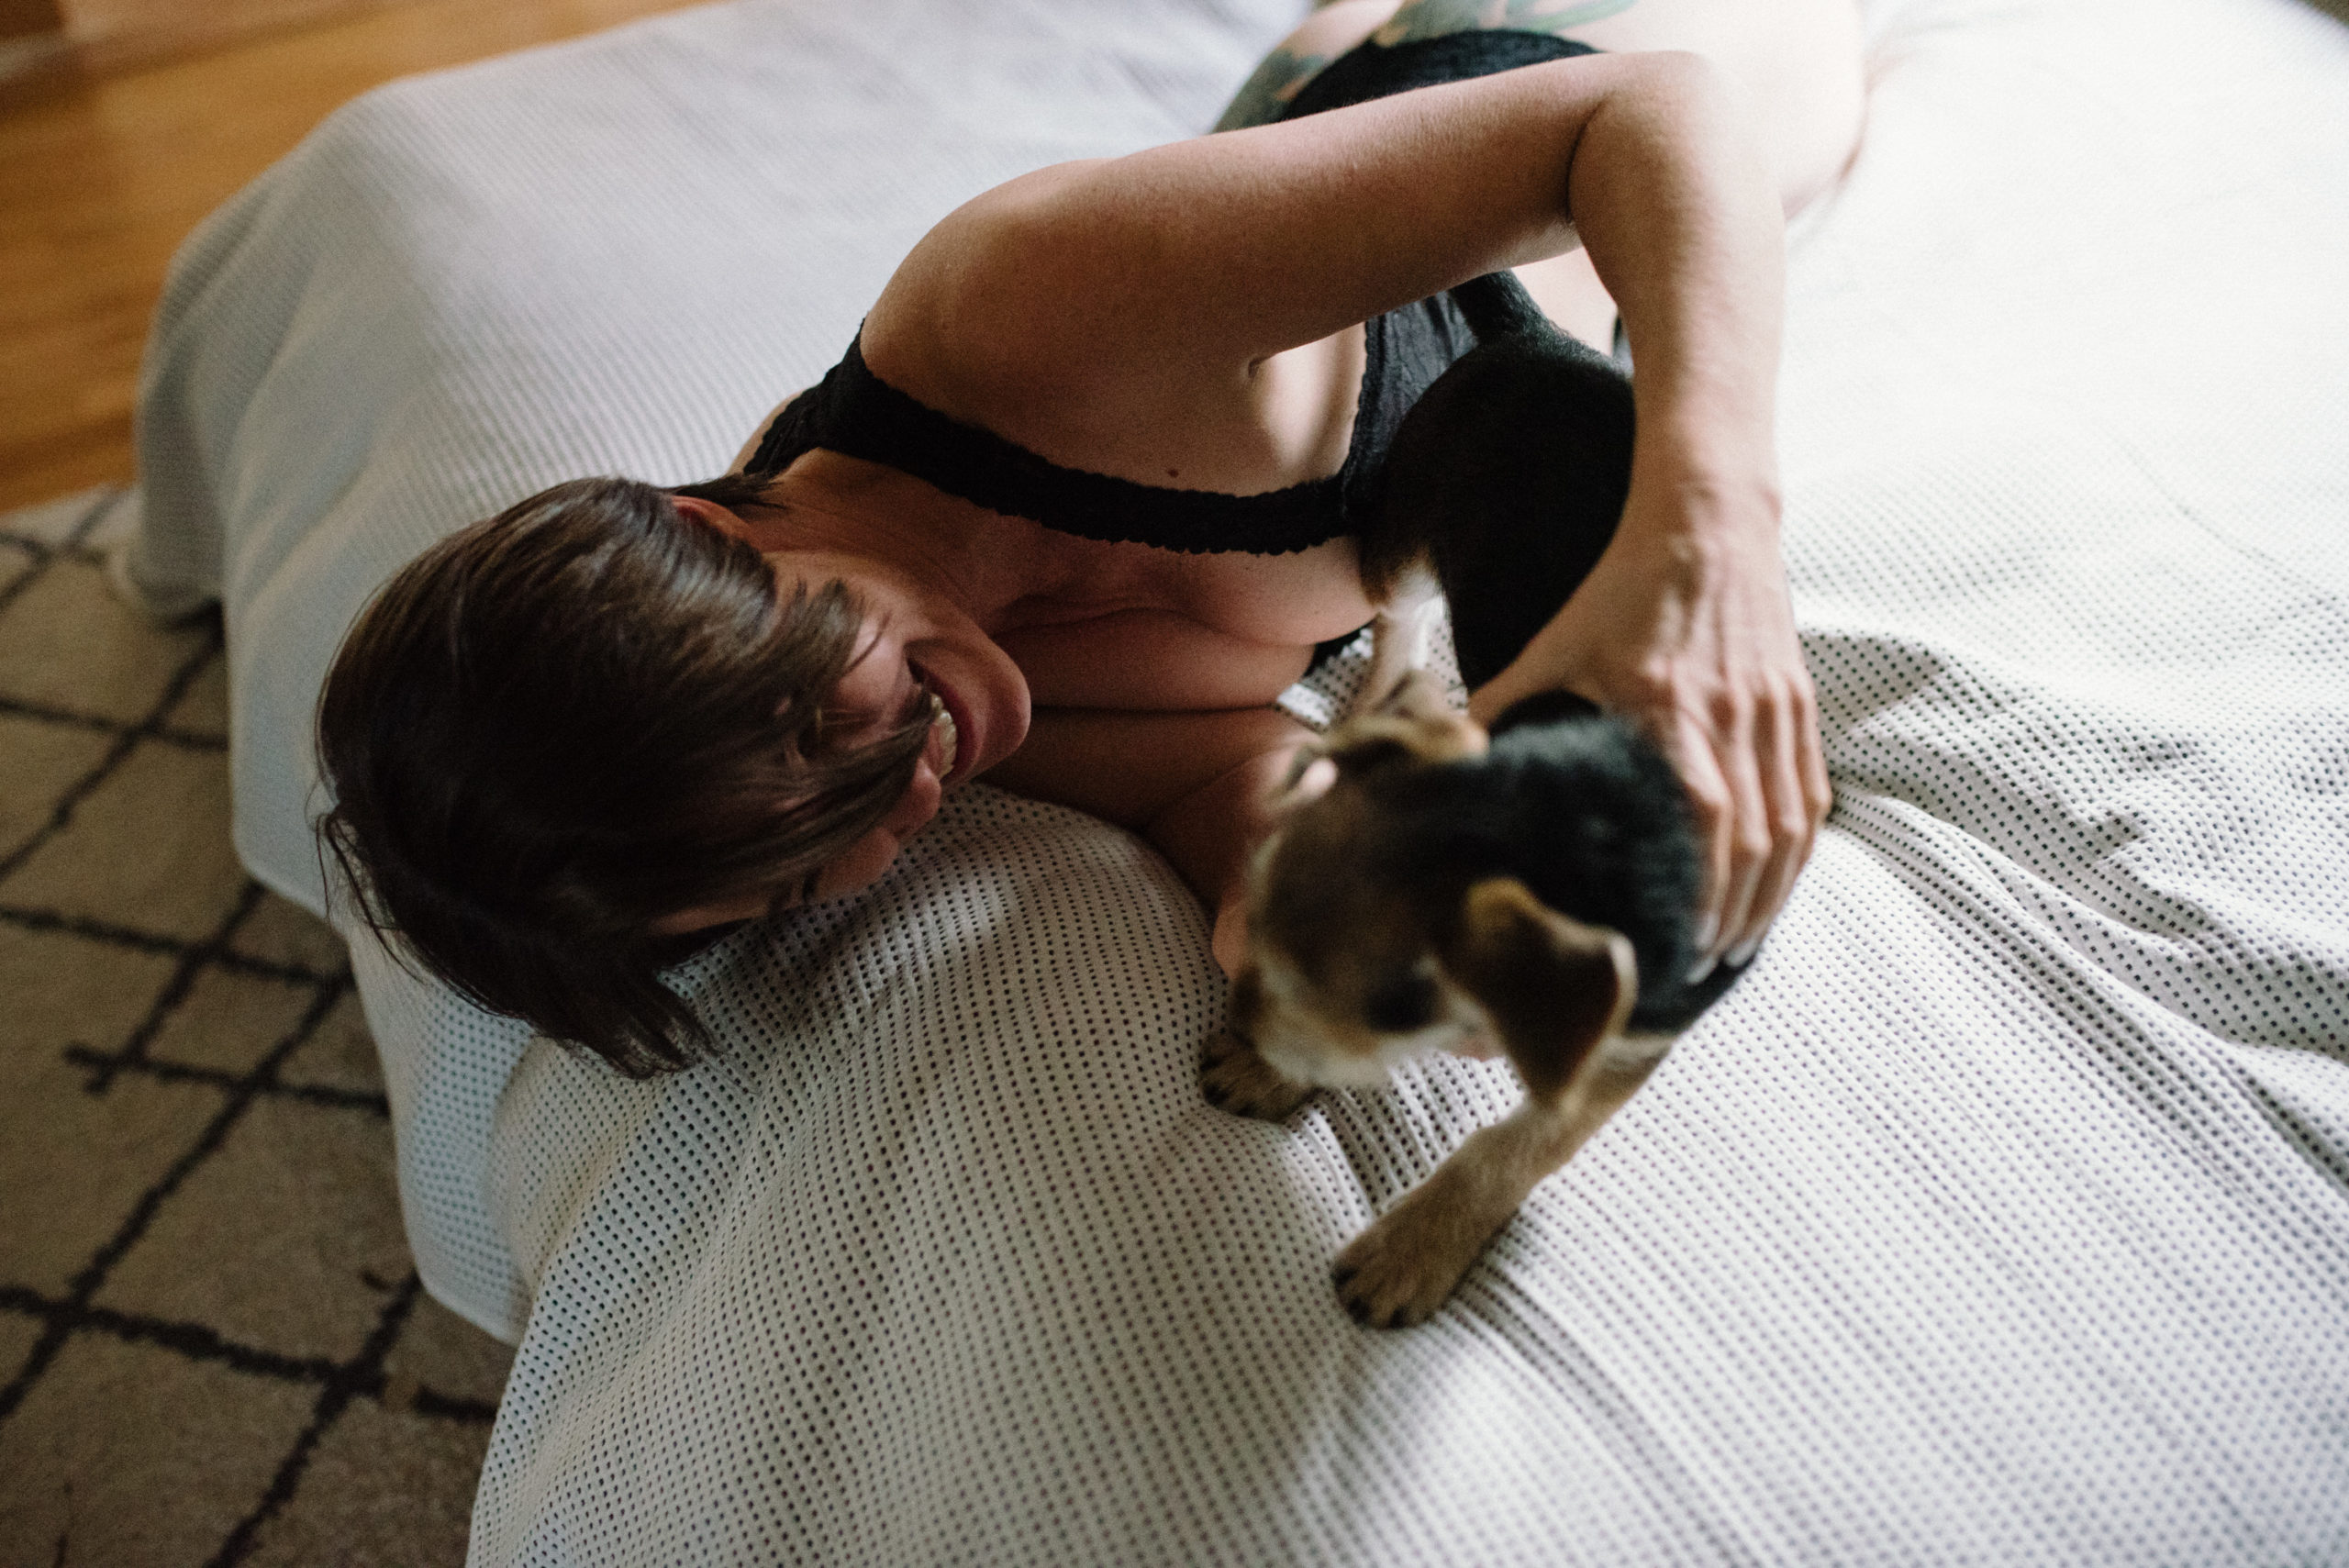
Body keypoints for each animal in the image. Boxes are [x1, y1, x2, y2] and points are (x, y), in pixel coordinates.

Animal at [1202, 266, 1738, 1323]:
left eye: (1368, 1003)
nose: (1235, 1014)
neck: (1594, 822)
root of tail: (1546, 339)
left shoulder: (1632, 1037)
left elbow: (1523, 1144)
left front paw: (1412, 1250)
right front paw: (1265, 1070)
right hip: (1403, 522)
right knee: (1399, 613)